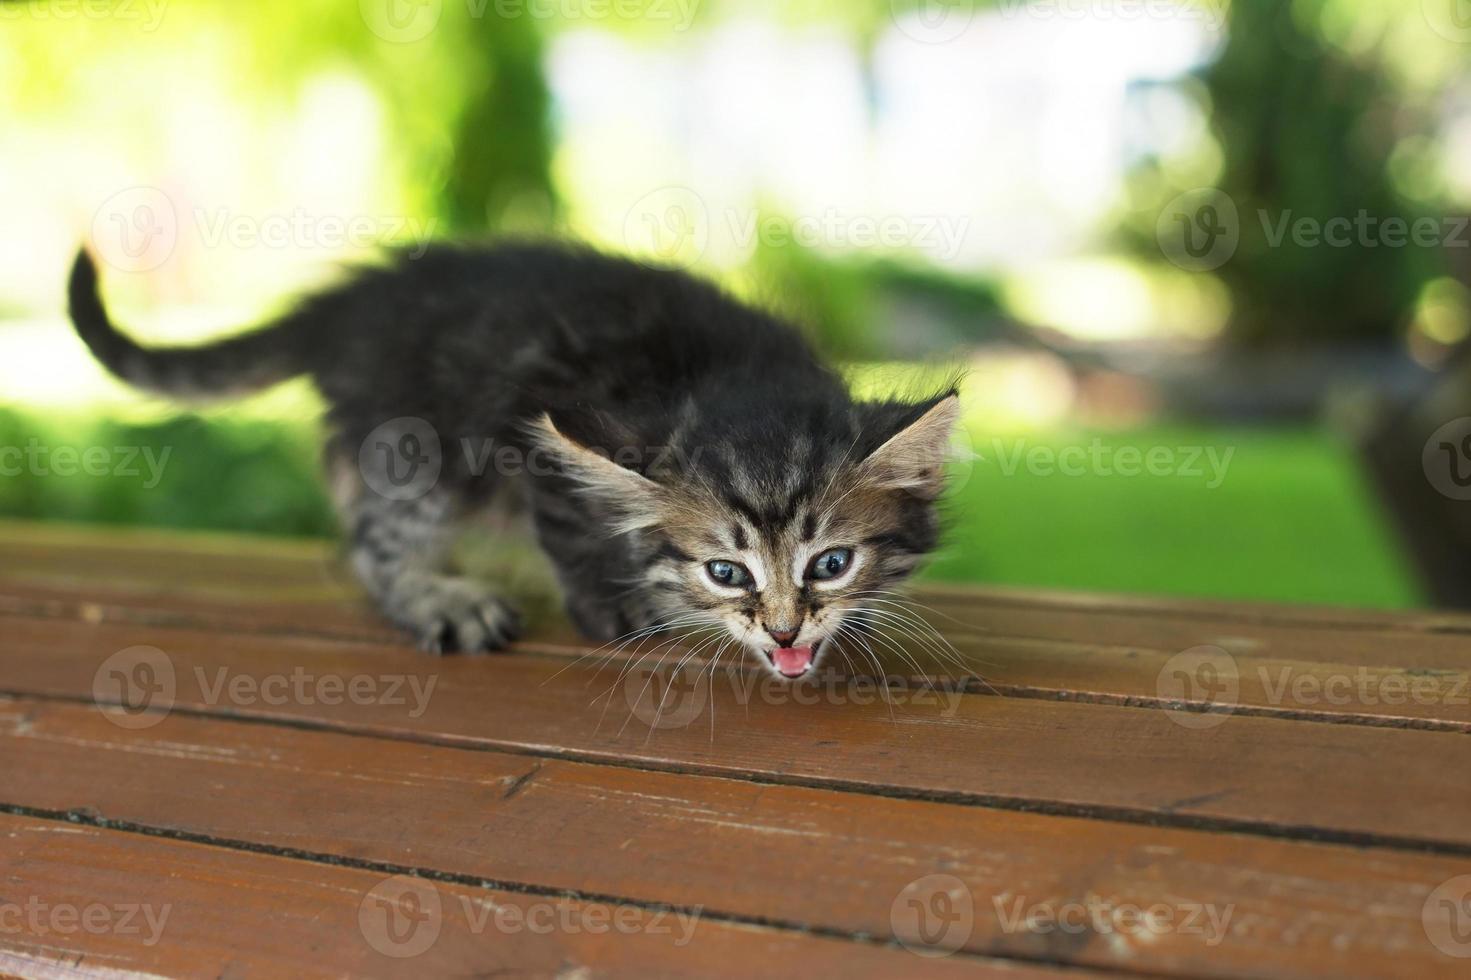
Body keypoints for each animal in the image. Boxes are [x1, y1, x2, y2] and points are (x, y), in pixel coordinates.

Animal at [69, 239, 959, 676]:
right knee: (371, 543)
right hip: (414, 448)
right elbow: (570, 537)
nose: (782, 633)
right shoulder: (546, 450)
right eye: (726, 573)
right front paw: (620, 608)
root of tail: (348, 303)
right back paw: (435, 595)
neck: (729, 380)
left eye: (831, 563)